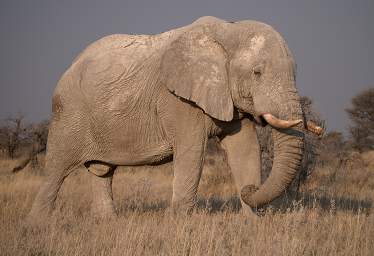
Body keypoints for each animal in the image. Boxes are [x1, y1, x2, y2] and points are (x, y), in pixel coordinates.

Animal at [27, 16, 322, 220]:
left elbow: (245, 149)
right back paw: (38, 226)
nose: (248, 190)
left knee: (102, 172)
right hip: (68, 114)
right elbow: (191, 152)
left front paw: (251, 224)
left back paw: (106, 222)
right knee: (56, 170)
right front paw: (180, 224)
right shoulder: (177, 100)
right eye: (257, 73)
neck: (227, 31)